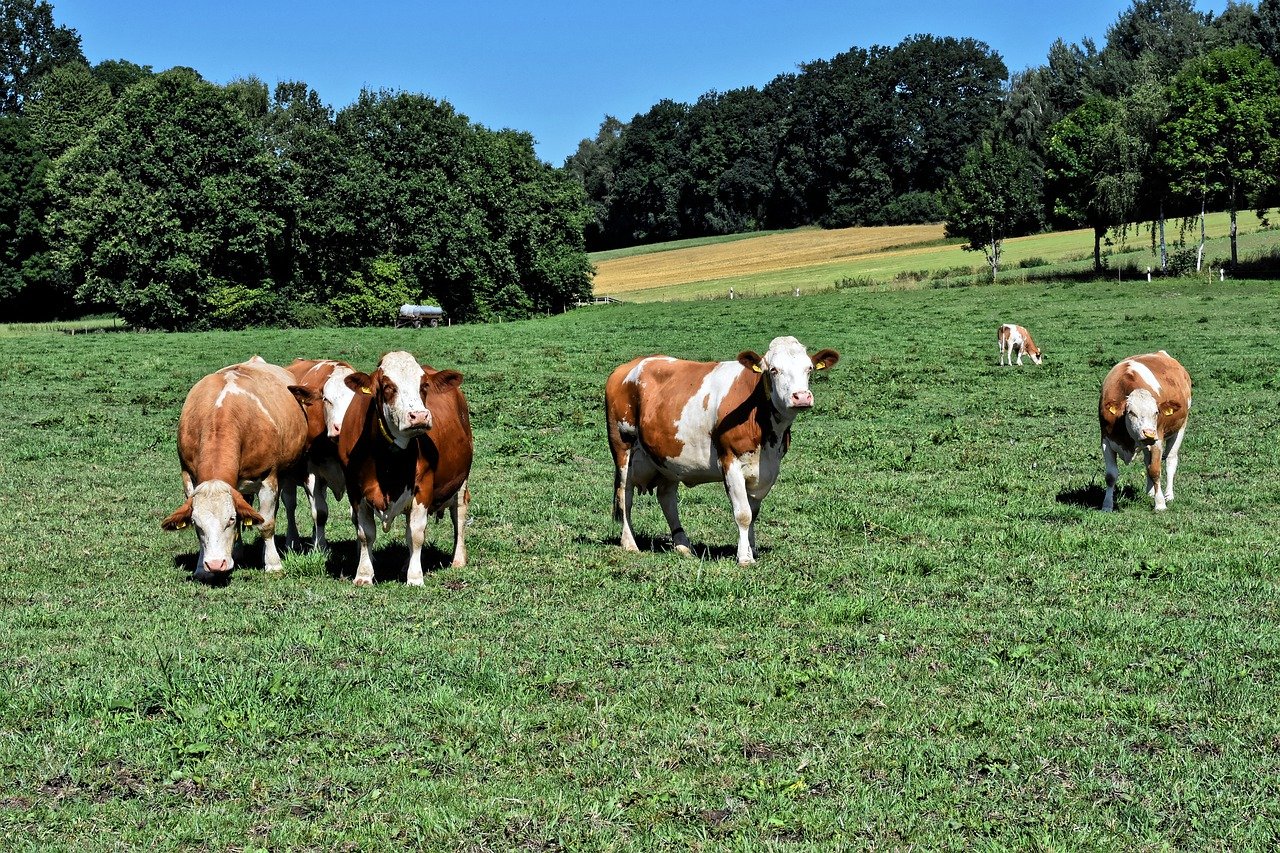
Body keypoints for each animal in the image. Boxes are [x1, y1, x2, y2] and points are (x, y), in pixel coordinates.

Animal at [161, 350, 320, 578]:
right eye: (196, 523)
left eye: (230, 519)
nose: (215, 564)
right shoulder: (188, 477)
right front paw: (201, 568)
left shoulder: (268, 479)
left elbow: (266, 523)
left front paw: (273, 564)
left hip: (288, 470)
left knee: (288, 505)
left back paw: (291, 542)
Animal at [284, 353, 355, 548]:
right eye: (326, 399)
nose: (341, 428)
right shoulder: (311, 472)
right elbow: (321, 513)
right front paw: (321, 548)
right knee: (290, 504)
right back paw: (292, 540)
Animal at [337, 350, 473, 584]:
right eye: (387, 385)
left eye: (424, 385)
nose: (419, 416)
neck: (388, 462)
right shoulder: (355, 490)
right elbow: (365, 534)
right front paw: (364, 574)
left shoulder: (423, 488)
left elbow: (416, 534)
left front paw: (415, 577)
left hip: (461, 481)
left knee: (459, 516)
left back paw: (457, 560)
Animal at [606, 333, 839, 563]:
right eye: (773, 369)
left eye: (809, 368)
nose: (801, 397)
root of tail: (628, 366)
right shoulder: (730, 462)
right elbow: (743, 514)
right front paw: (744, 558)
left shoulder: (768, 468)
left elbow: (753, 512)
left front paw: (751, 550)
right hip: (623, 447)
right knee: (625, 495)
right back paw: (630, 544)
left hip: (668, 457)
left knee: (666, 497)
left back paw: (683, 545)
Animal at [1100, 348, 1187, 507]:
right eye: (1131, 412)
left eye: (1156, 412)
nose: (1149, 433)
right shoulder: (1106, 441)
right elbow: (1110, 475)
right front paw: (1107, 505)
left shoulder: (1157, 441)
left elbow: (1155, 471)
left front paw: (1160, 504)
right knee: (1147, 462)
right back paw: (1149, 492)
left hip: (1180, 429)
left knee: (1170, 460)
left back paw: (1168, 495)